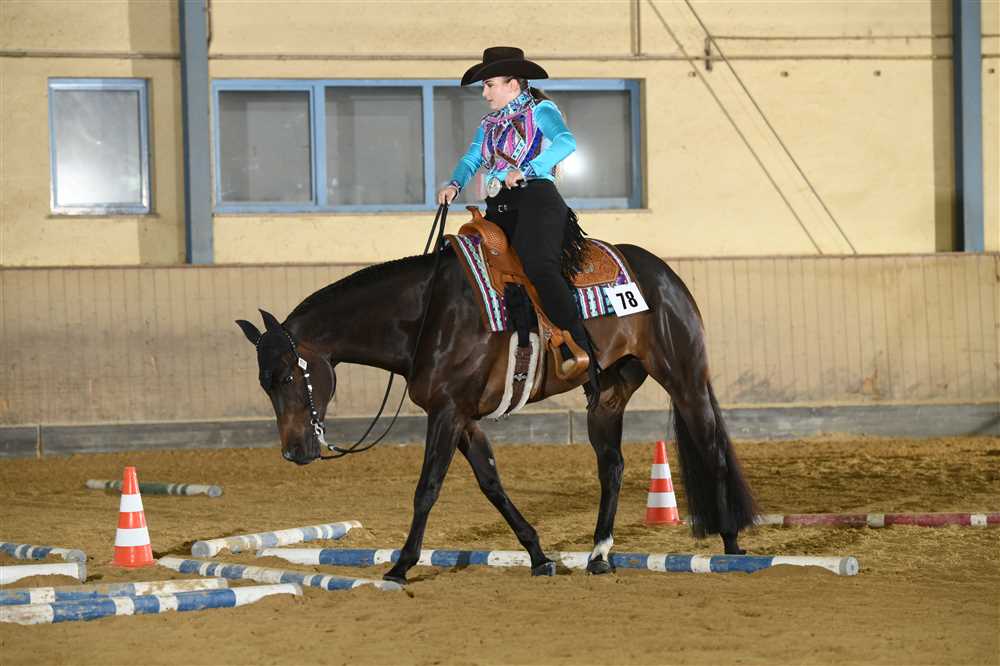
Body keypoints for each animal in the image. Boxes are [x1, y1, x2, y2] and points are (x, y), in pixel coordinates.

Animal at [235, 222, 757, 584]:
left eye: (287, 376)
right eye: (264, 383)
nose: (295, 452)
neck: (428, 314)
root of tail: (665, 275)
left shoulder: (447, 414)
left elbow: (427, 488)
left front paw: (401, 566)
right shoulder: (463, 417)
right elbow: (491, 482)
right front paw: (539, 556)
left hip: (684, 378)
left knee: (710, 447)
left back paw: (731, 544)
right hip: (607, 396)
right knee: (612, 467)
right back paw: (599, 555)